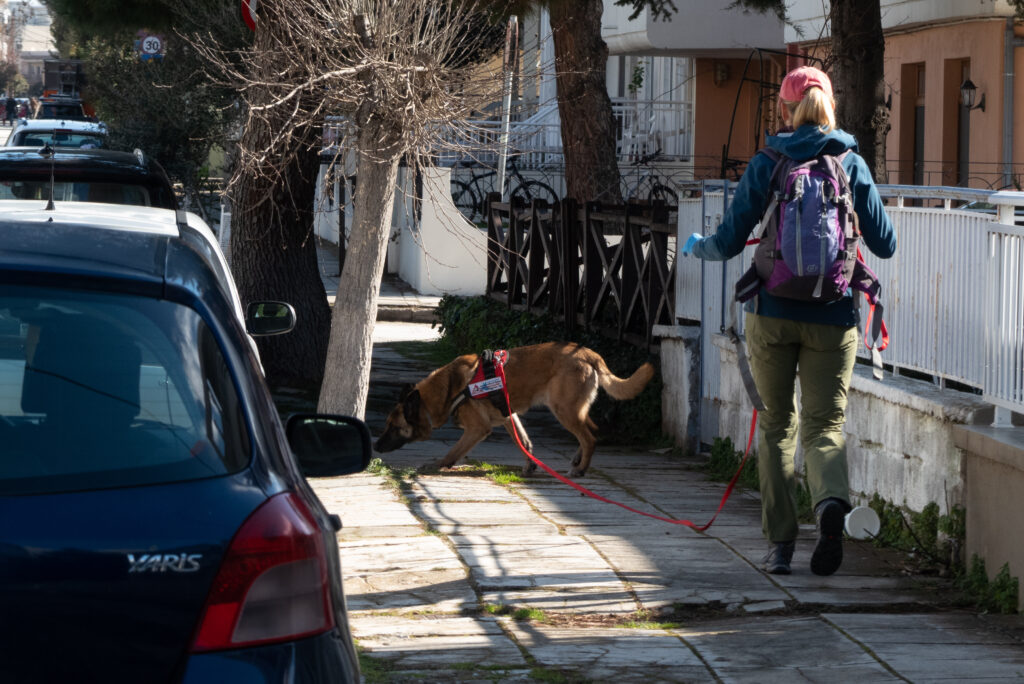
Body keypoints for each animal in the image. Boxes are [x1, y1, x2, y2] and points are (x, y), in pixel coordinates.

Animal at [376, 342, 655, 475]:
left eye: (393, 426)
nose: (376, 446)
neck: (449, 389)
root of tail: (588, 353)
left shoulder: (477, 429)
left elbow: (453, 452)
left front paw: (436, 465)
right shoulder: (509, 417)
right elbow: (524, 442)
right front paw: (530, 467)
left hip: (563, 410)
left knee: (590, 437)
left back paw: (580, 469)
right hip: (571, 410)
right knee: (591, 430)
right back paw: (577, 461)